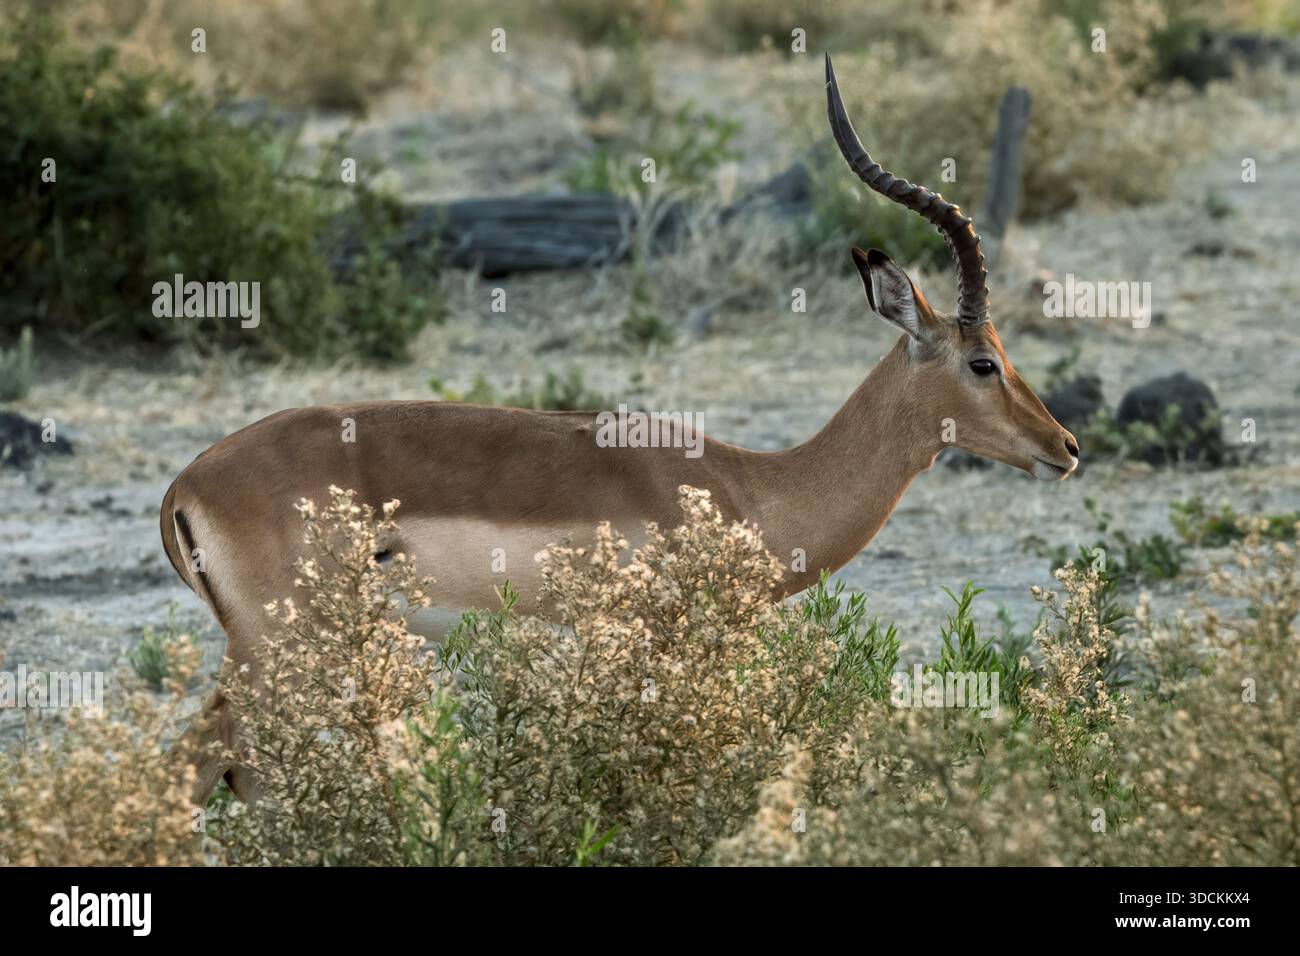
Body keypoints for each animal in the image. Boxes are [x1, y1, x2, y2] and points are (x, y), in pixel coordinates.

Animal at [161, 55, 1078, 803]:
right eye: (983, 361)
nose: (1065, 448)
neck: (751, 489)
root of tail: (183, 485)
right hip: (276, 651)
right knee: (198, 764)